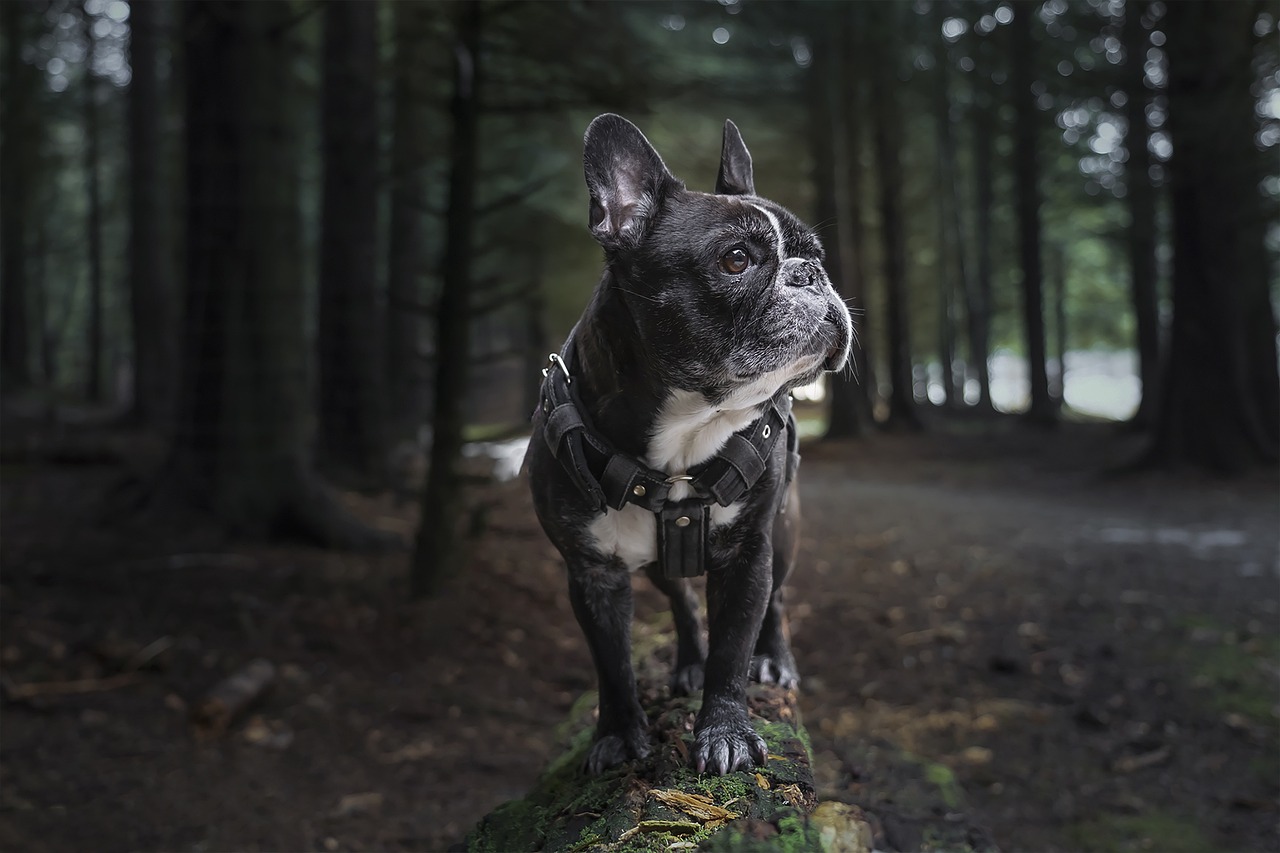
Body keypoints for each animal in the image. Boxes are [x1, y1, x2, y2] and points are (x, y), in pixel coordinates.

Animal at [524, 112, 855, 768]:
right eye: (736, 259)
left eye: (816, 255)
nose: (812, 275)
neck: (684, 434)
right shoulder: (592, 574)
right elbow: (612, 664)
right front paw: (618, 735)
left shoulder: (750, 553)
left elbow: (734, 646)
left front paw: (725, 732)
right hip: (656, 564)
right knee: (681, 600)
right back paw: (688, 663)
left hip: (785, 529)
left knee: (777, 602)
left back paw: (773, 659)